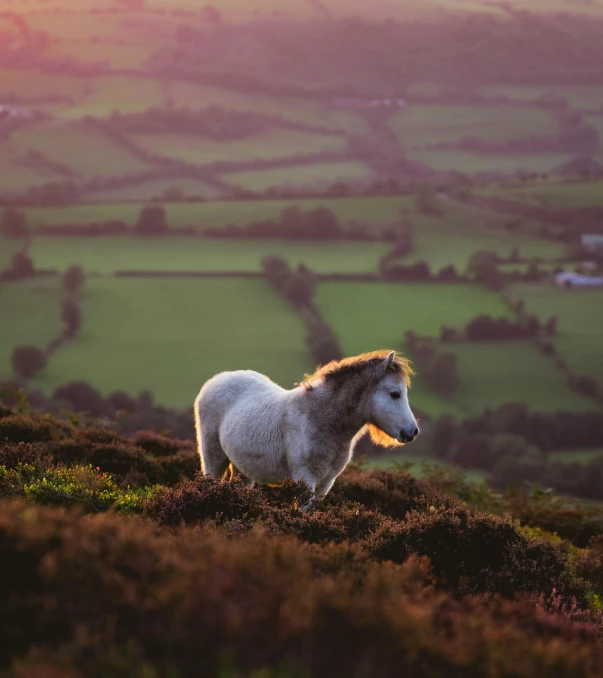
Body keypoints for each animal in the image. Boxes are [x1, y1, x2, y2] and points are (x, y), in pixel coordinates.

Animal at [196, 350, 418, 510]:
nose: (412, 432)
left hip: (243, 470)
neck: (321, 419)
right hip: (213, 458)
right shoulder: (306, 478)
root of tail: (216, 380)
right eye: (395, 394)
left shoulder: (326, 483)